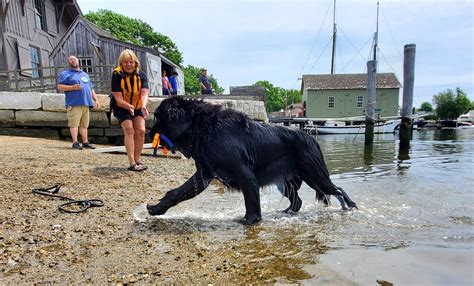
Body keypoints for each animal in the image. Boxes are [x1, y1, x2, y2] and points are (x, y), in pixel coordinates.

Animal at [148, 97, 356, 225]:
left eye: (158, 118)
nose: (149, 133)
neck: (205, 127)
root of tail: (311, 138)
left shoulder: (244, 172)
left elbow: (252, 201)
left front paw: (249, 221)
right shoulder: (205, 174)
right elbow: (178, 192)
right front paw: (156, 208)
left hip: (314, 174)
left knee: (338, 190)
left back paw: (350, 208)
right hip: (286, 182)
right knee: (297, 201)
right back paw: (286, 213)